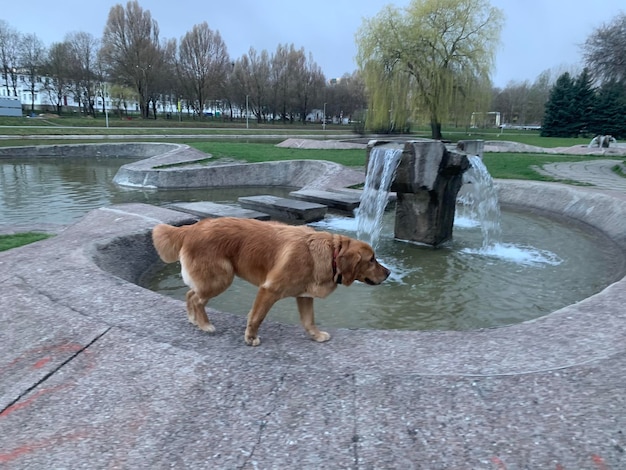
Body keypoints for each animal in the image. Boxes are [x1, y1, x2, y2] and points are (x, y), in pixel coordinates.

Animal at [151, 217, 388, 346]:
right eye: (372, 259)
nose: (388, 273)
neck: (331, 254)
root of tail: (192, 227)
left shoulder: (304, 295)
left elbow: (309, 320)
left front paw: (316, 335)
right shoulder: (269, 289)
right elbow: (257, 317)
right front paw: (250, 338)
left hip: (214, 279)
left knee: (190, 294)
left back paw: (194, 320)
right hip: (221, 278)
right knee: (196, 298)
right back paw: (205, 325)